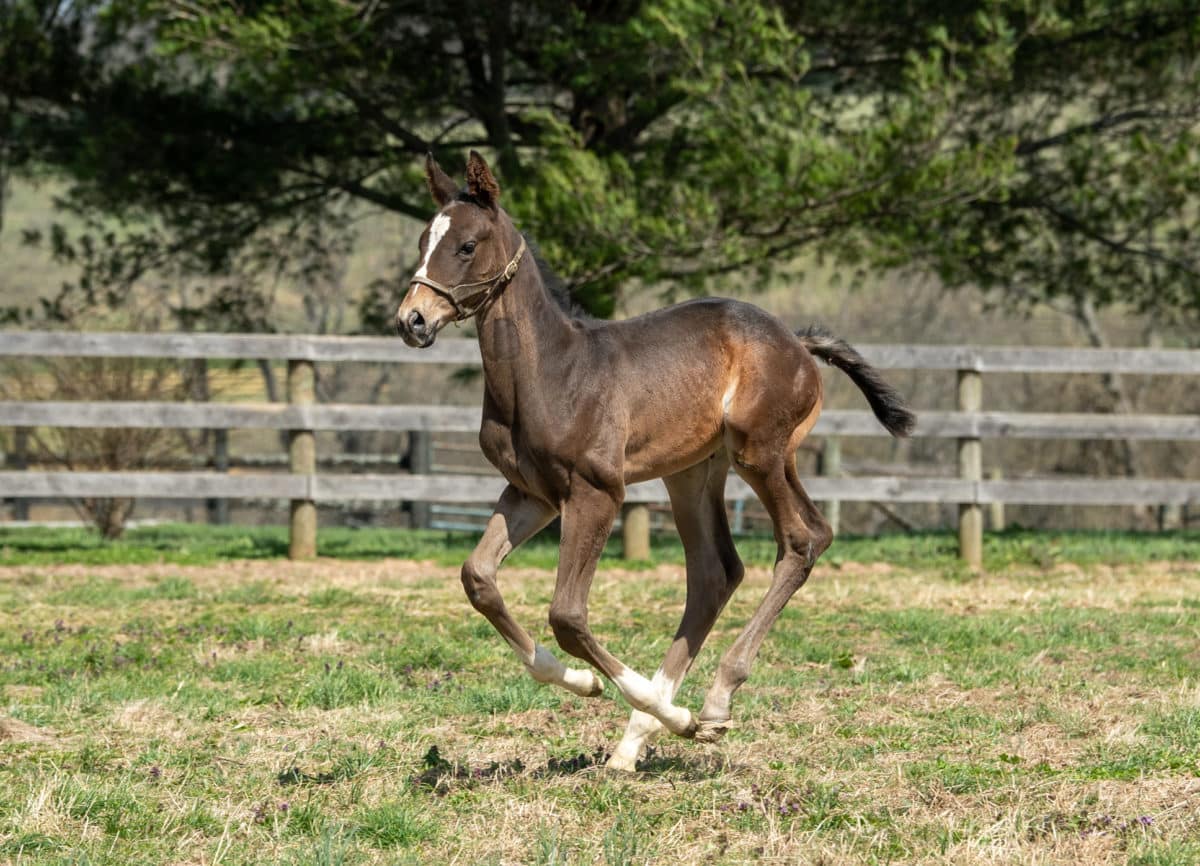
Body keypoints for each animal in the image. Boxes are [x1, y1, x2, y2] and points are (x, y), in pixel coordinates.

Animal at [398, 151, 912, 767]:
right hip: (692, 472)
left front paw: (670, 713)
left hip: (759, 453)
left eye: (467, 245)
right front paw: (584, 683)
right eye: (422, 239)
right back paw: (637, 738)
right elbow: (478, 578)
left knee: (803, 539)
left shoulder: (597, 491)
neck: (552, 371)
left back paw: (710, 705)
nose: (412, 320)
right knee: (715, 572)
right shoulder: (532, 493)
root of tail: (796, 342)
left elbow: (567, 614)